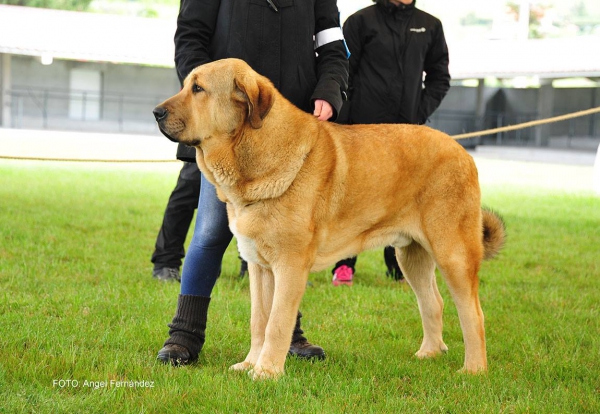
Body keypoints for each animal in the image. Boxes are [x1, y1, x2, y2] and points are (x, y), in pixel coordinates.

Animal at [155, 59, 506, 380]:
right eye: (187, 85)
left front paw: (266, 372)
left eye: (198, 89)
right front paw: (249, 364)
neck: (254, 150)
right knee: (433, 303)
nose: (157, 112)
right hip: (411, 256)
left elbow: (277, 323)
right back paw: (429, 353)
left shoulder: (290, 265)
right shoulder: (259, 266)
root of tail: (462, 152)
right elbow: (259, 320)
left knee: (473, 313)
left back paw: (474, 369)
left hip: (453, 253)